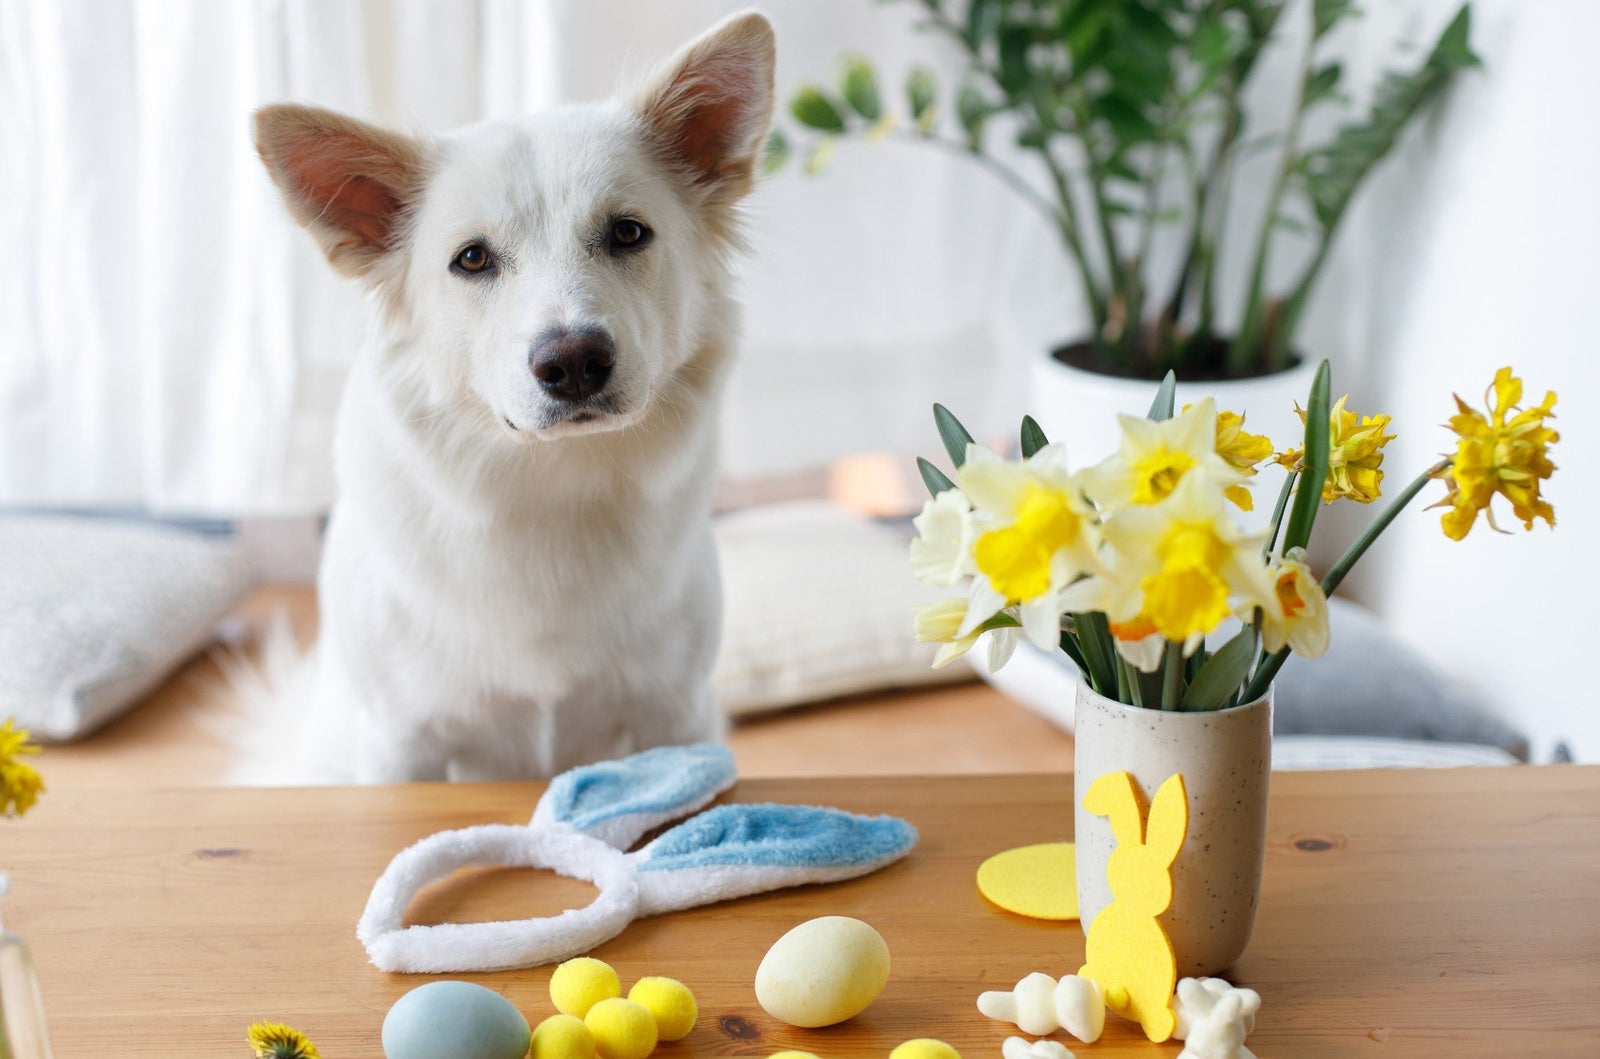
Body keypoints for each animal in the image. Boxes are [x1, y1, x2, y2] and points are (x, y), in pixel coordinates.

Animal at [249, 12, 774, 783]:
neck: (549, 489)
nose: (575, 362)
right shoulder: (401, 745)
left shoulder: (676, 717)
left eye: (627, 232)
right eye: (472, 259)